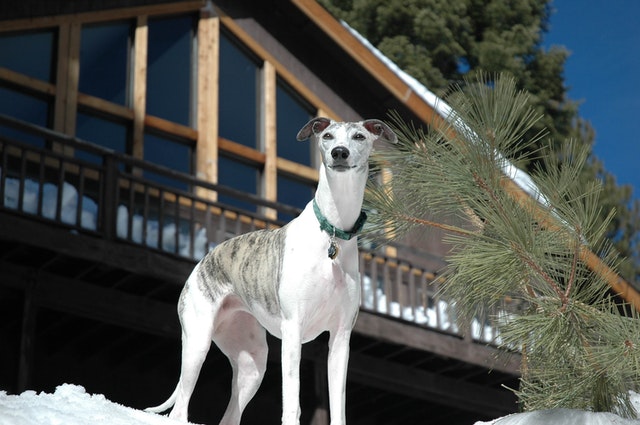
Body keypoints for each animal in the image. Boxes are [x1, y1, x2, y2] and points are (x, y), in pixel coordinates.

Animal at [148, 117, 398, 424]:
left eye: (359, 136)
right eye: (327, 136)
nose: (339, 153)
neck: (333, 232)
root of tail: (204, 259)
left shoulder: (341, 338)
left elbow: (338, 406)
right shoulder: (293, 329)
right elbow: (292, 400)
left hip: (253, 363)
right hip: (198, 341)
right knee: (179, 407)